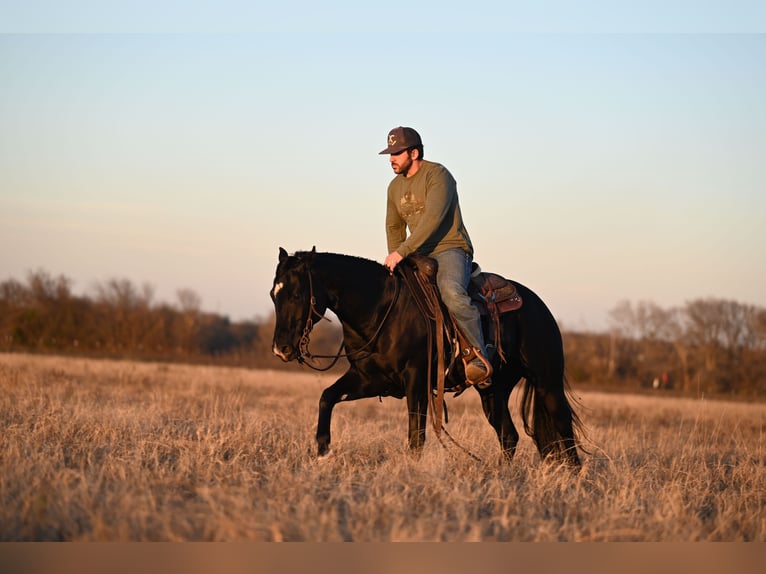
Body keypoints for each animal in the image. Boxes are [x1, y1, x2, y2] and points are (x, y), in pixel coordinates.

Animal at [272, 248, 584, 468]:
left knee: (563, 429)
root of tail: (538, 305)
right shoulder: (370, 379)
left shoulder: (416, 381)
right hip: (494, 390)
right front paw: (323, 452)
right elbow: (327, 397)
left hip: (546, 382)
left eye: (297, 294)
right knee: (508, 435)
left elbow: (416, 434)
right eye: (274, 295)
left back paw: (574, 478)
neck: (381, 307)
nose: (280, 349)